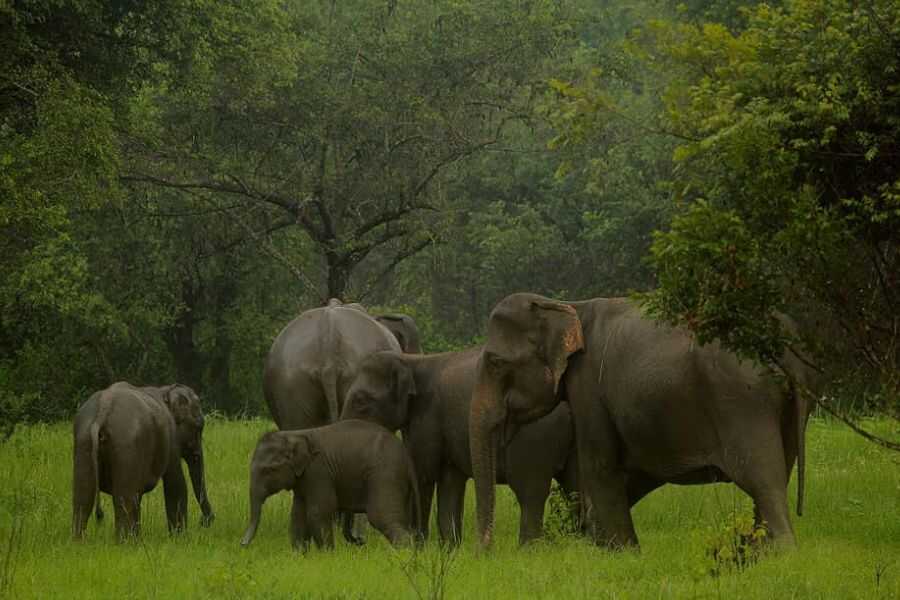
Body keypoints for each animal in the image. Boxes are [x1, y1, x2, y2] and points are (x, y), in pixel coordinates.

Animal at [72, 382, 214, 541]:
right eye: (199, 426)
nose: (204, 521)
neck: (165, 390)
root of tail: (101, 413)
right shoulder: (170, 438)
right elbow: (176, 483)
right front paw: (180, 538)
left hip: (83, 441)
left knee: (83, 498)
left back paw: (79, 541)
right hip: (127, 446)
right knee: (124, 498)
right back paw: (126, 542)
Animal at [240, 419, 421, 550]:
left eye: (268, 470)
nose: (242, 544)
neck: (296, 435)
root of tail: (408, 459)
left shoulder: (318, 471)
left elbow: (318, 511)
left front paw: (326, 555)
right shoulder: (304, 478)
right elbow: (298, 513)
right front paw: (300, 555)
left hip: (385, 474)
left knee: (382, 516)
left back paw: (404, 552)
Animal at [341, 348, 579, 546]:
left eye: (361, 401)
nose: (359, 541)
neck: (411, 360)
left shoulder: (426, 418)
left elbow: (423, 475)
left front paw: (420, 546)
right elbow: (450, 482)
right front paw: (449, 548)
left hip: (535, 441)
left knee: (530, 493)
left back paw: (528, 549)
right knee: (573, 486)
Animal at [469, 293, 814, 550]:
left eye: (495, 361)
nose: (484, 553)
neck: (568, 306)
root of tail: (780, 339)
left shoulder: (589, 388)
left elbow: (599, 465)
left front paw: (622, 552)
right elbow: (632, 473)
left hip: (741, 401)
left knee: (762, 479)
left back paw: (781, 552)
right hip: (787, 404)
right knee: (777, 474)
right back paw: (760, 552)